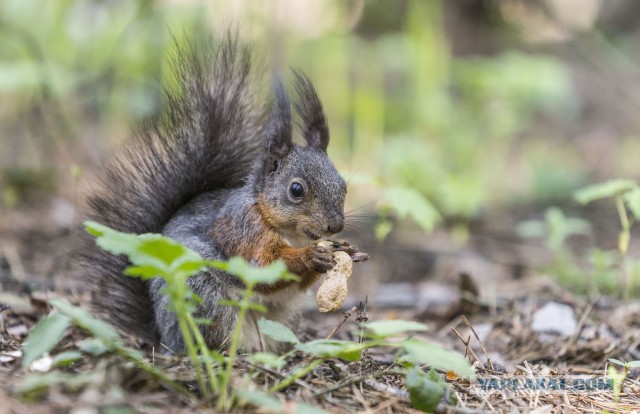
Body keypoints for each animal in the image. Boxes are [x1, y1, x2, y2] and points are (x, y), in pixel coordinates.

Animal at [83, 35, 350, 352]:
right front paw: (312, 256)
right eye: (296, 190)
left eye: (344, 185)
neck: (291, 233)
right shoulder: (244, 231)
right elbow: (264, 268)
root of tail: (162, 337)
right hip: (201, 296)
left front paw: (344, 250)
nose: (335, 226)